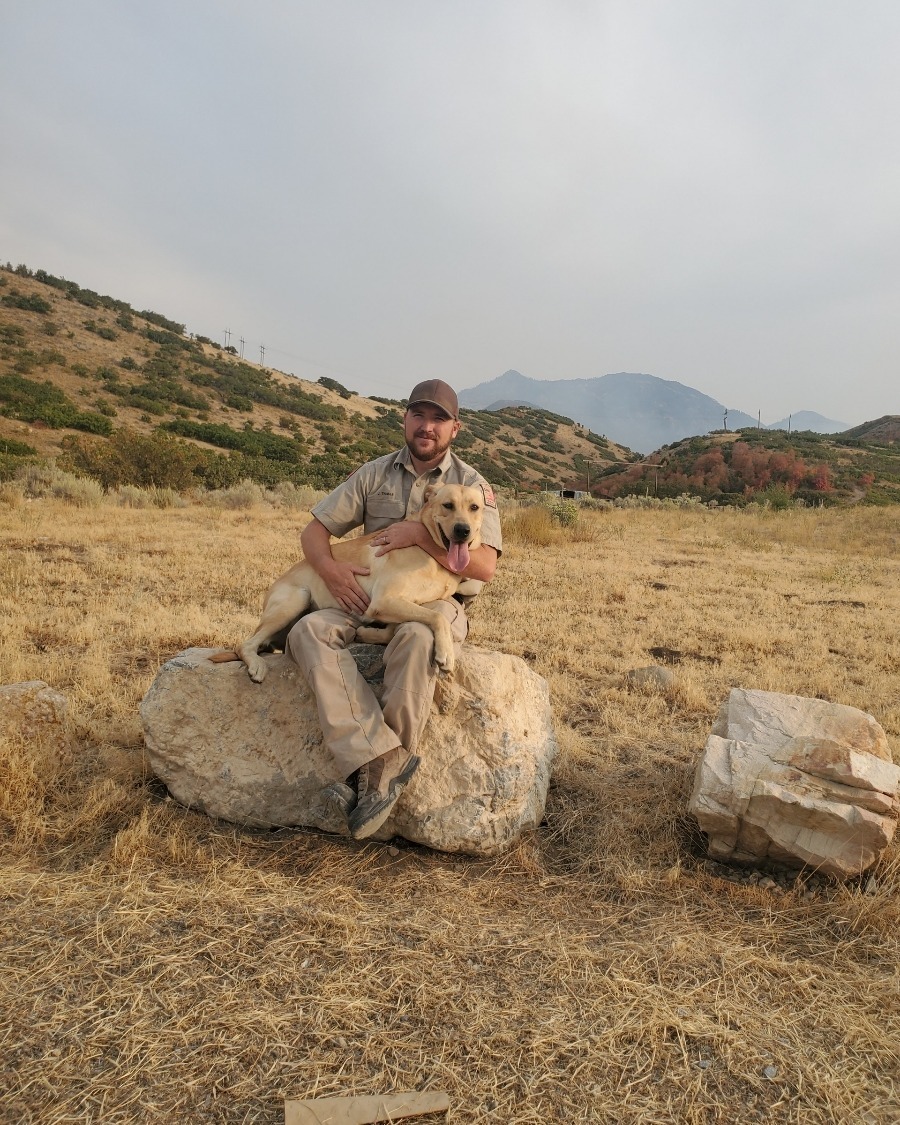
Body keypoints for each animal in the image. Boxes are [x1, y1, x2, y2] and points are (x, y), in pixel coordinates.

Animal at [211, 481, 486, 679]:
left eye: (474, 507)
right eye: (448, 505)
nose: (463, 531)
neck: (429, 550)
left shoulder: (397, 605)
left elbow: (398, 627)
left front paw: (366, 633)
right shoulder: (384, 600)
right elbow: (438, 617)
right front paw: (446, 653)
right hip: (295, 600)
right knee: (244, 644)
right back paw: (256, 666)